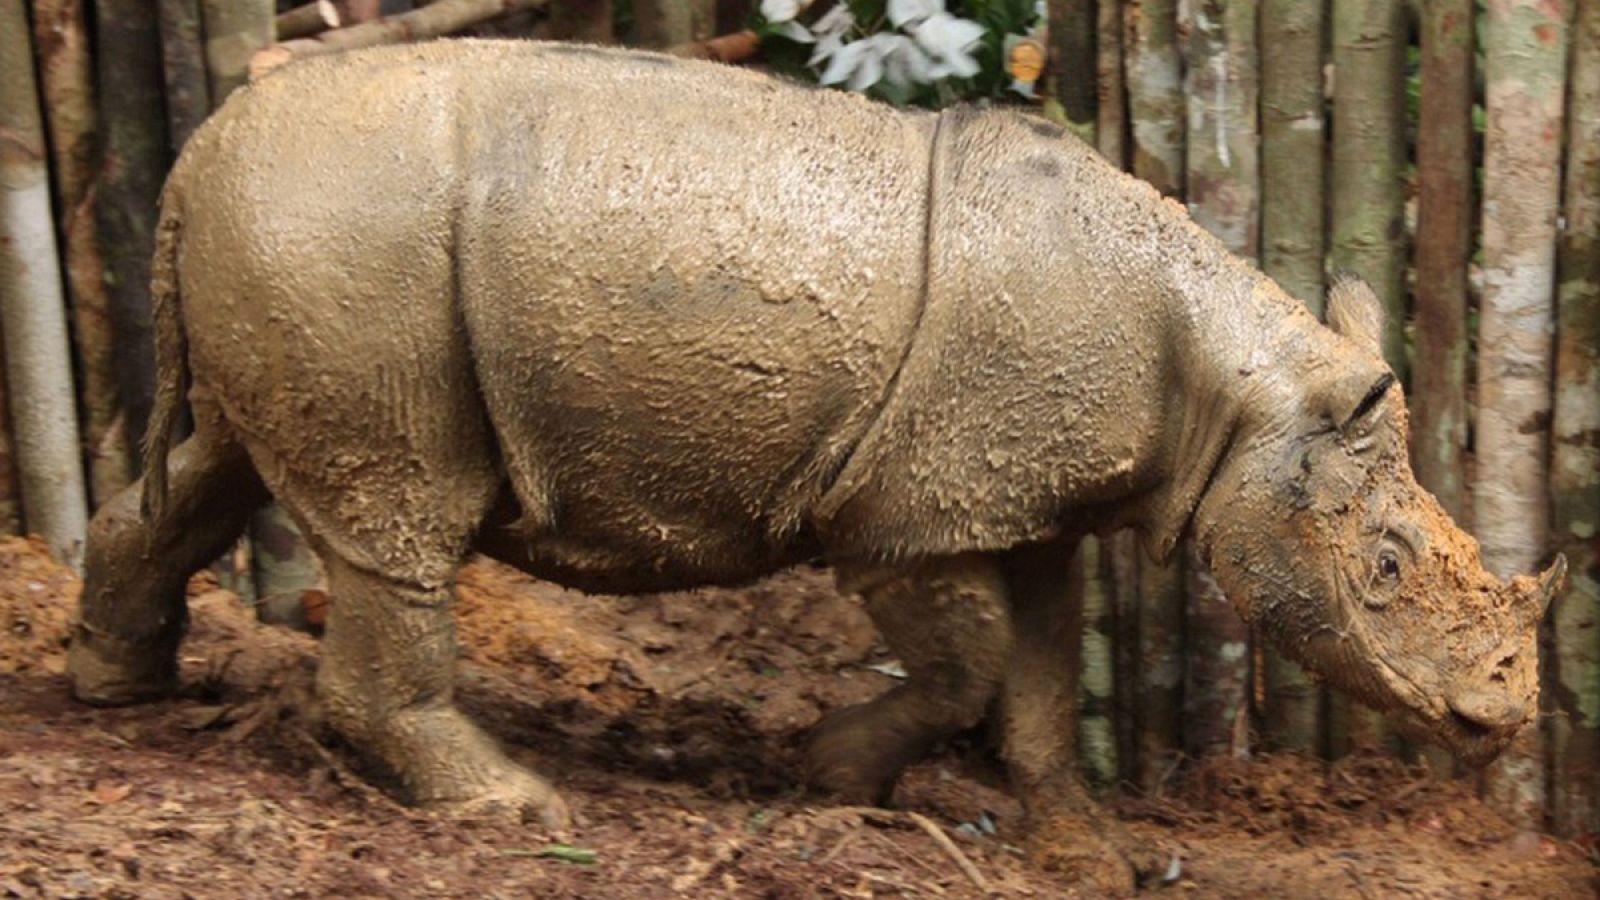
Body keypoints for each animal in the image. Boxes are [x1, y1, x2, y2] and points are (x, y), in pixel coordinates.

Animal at [65, 38, 1561, 883]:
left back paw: (112, 693)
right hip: (351, 237)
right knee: (395, 518)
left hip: (300, 240)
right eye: (1383, 565)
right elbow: (966, 663)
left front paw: (1085, 853)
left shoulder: (1025, 502)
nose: (1504, 718)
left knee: (214, 470)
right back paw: (512, 803)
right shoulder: (905, 511)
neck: (1242, 395)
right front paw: (831, 779)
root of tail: (195, 156)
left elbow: (1033, 677)